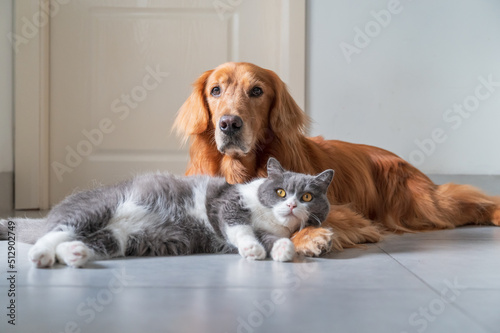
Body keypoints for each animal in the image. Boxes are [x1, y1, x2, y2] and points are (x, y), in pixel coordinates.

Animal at [2, 158, 336, 268]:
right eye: (281, 192)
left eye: (306, 196)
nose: (291, 205)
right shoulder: (226, 204)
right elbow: (240, 229)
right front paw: (253, 250)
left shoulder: (269, 230)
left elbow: (275, 239)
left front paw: (282, 251)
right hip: (94, 210)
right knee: (54, 233)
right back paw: (42, 257)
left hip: (121, 239)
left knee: (83, 242)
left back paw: (74, 254)